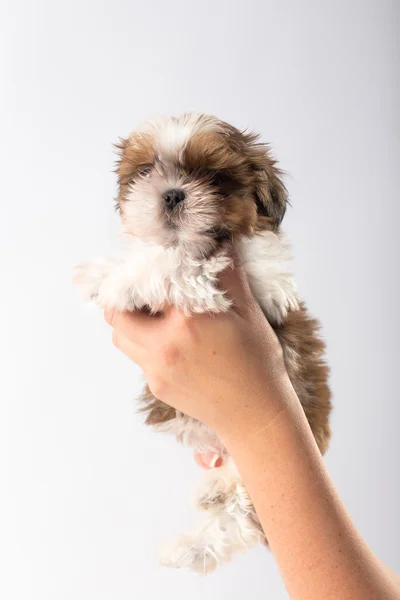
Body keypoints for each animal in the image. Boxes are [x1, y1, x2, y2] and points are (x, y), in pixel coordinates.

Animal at [74, 113, 332, 576]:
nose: (172, 194)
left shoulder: (235, 282)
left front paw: (120, 280)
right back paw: (210, 491)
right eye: (146, 172)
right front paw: (106, 273)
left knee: (239, 520)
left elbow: (179, 264)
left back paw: (189, 548)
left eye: (213, 177)